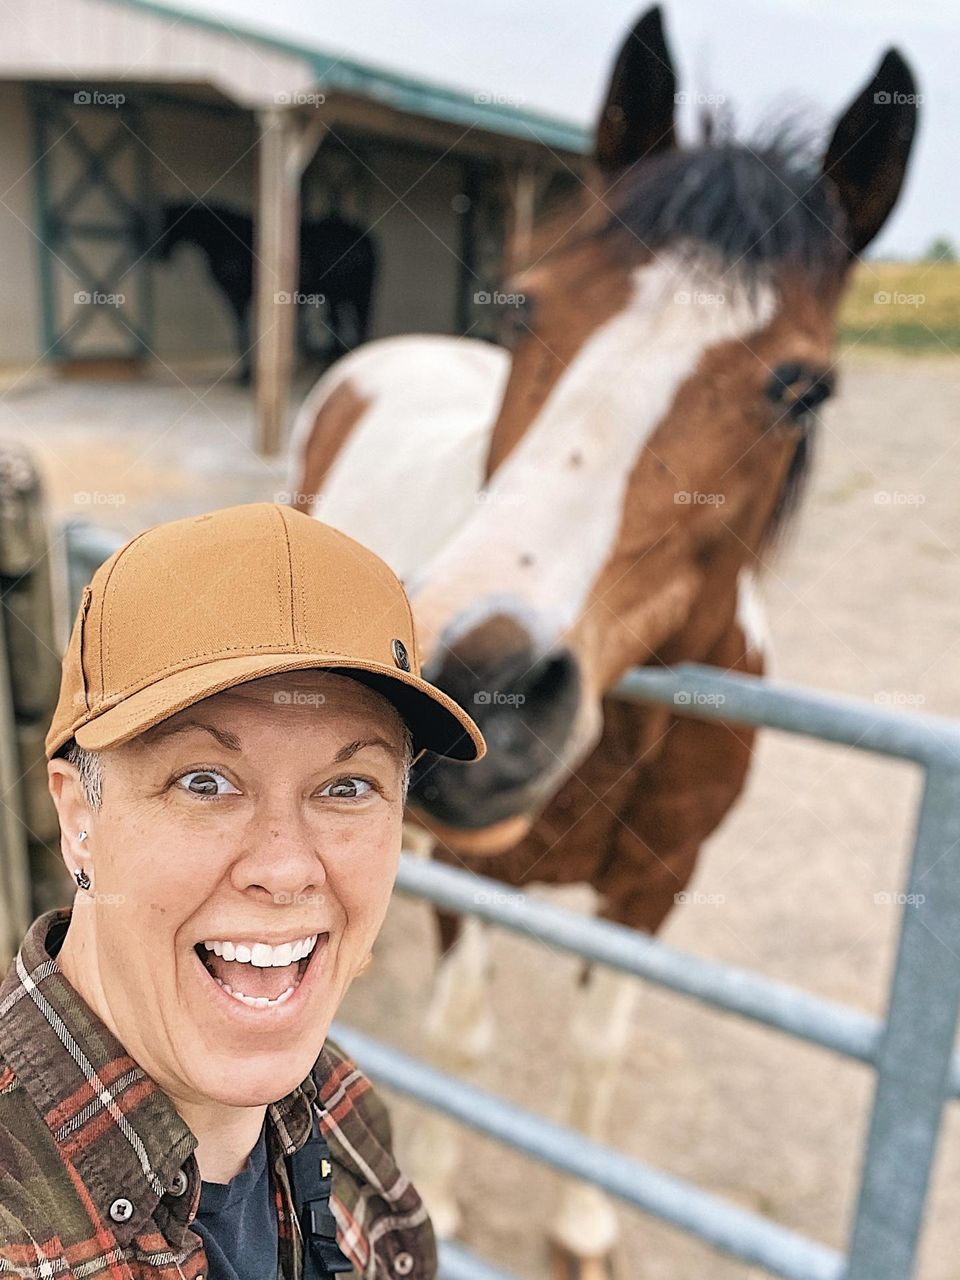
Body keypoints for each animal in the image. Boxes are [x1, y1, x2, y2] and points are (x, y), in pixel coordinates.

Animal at [152, 203, 378, 378]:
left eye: (165, 224)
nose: (159, 257)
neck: (224, 239)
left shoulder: (237, 296)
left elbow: (242, 331)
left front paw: (245, 376)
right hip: (345, 296)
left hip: (345, 295)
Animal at [284, 7, 916, 1269]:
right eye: (528, 306)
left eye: (804, 388)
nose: (480, 682)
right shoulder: (468, 873)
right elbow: (465, 1034)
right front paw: (445, 1198)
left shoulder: (657, 885)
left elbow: (597, 1052)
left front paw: (581, 1219)